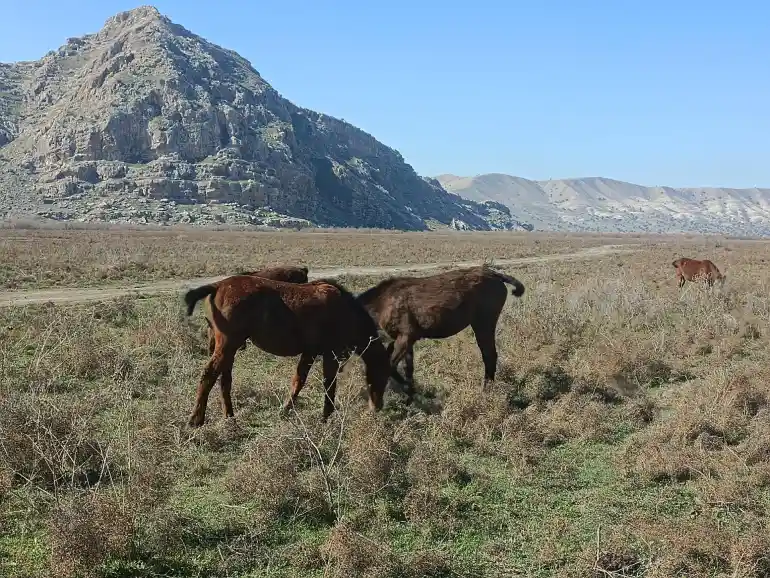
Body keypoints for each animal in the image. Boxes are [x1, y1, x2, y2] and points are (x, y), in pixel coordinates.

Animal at [183, 272, 390, 426]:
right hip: (228, 345)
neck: (346, 311)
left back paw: (230, 417)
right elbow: (328, 384)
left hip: (227, 348)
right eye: (383, 375)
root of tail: (218, 286)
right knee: (209, 375)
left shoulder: (310, 353)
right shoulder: (329, 354)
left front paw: (285, 409)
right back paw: (196, 420)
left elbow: (298, 380)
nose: (378, 407)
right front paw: (326, 417)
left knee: (224, 380)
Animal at [356, 262, 524, 394]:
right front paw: (410, 396)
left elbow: (390, 368)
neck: (382, 303)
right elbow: (408, 369)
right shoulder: (406, 341)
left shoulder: (406, 337)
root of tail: (495, 275)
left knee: (489, 355)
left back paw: (486, 391)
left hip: (483, 323)